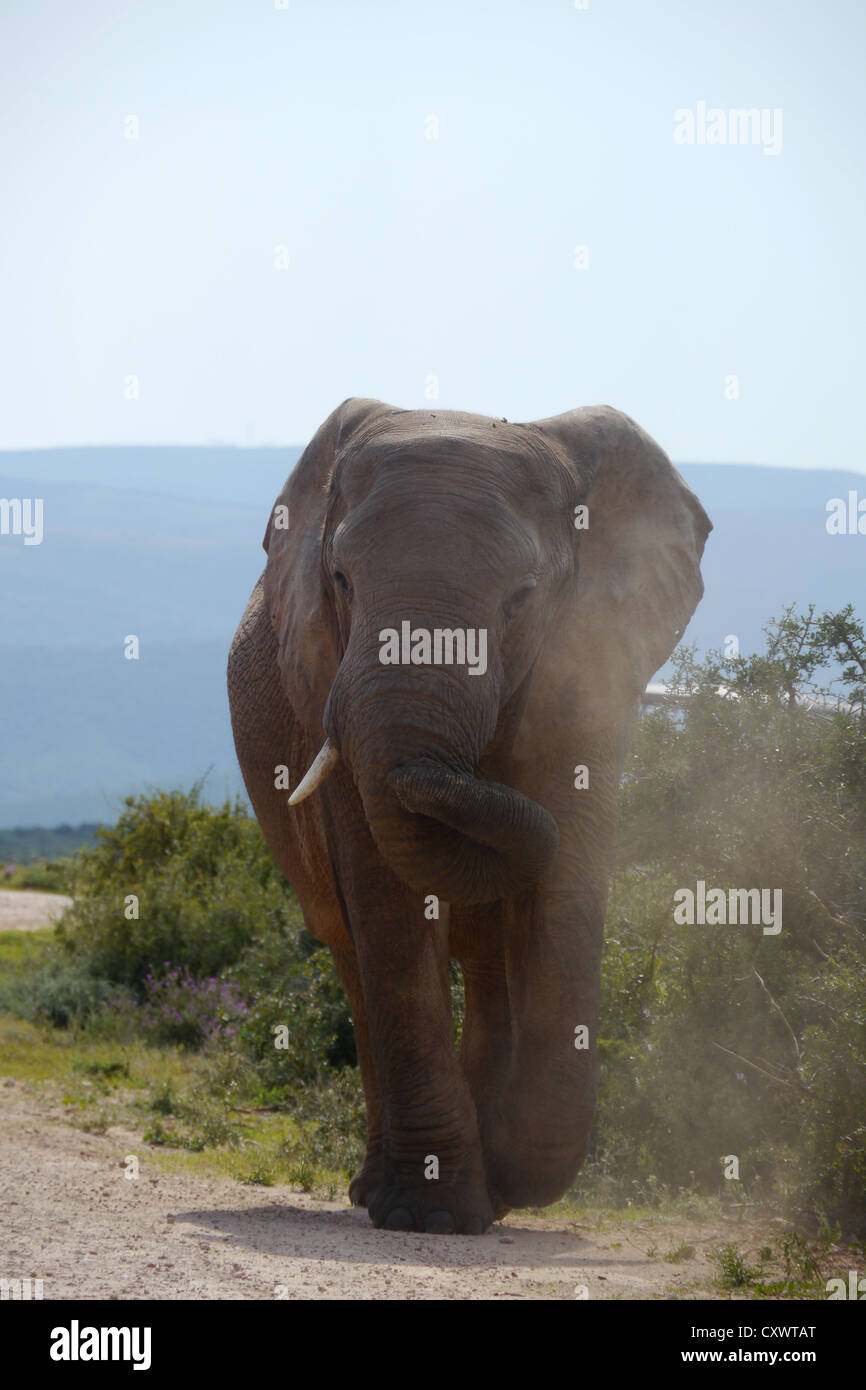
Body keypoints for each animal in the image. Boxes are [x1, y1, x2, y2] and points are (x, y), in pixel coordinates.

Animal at [227, 397, 711, 1235]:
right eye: (341, 580)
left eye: (522, 600)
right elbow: (388, 903)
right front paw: (435, 1214)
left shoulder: (587, 671)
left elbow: (564, 888)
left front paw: (498, 1180)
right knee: (355, 956)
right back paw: (384, 1189)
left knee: (488, 958)